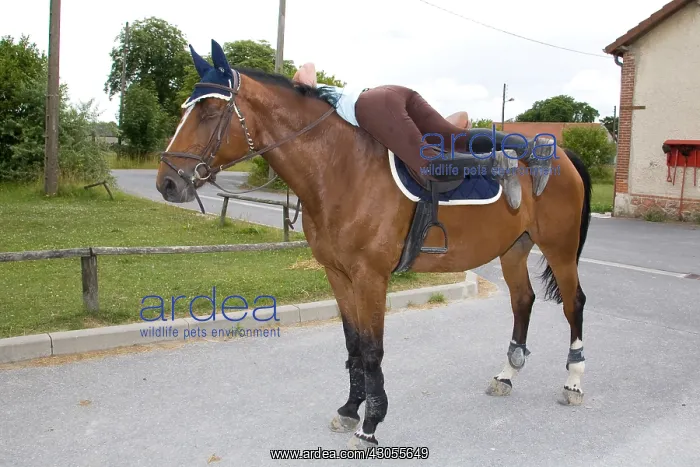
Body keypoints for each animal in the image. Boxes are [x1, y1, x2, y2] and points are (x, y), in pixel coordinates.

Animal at [156, 40, 592, 449]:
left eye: (209, 112)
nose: (168, 183)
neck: (340, 169)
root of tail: (563, 156)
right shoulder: (338, 274)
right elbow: (353, 345)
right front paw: (351, 409)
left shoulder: (370, 278)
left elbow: (371, 351)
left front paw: (370, 425)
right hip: (513, 249)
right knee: (522, 300)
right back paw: (507, 374)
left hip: (560, 249)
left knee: (574, 303)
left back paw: (573, 380)